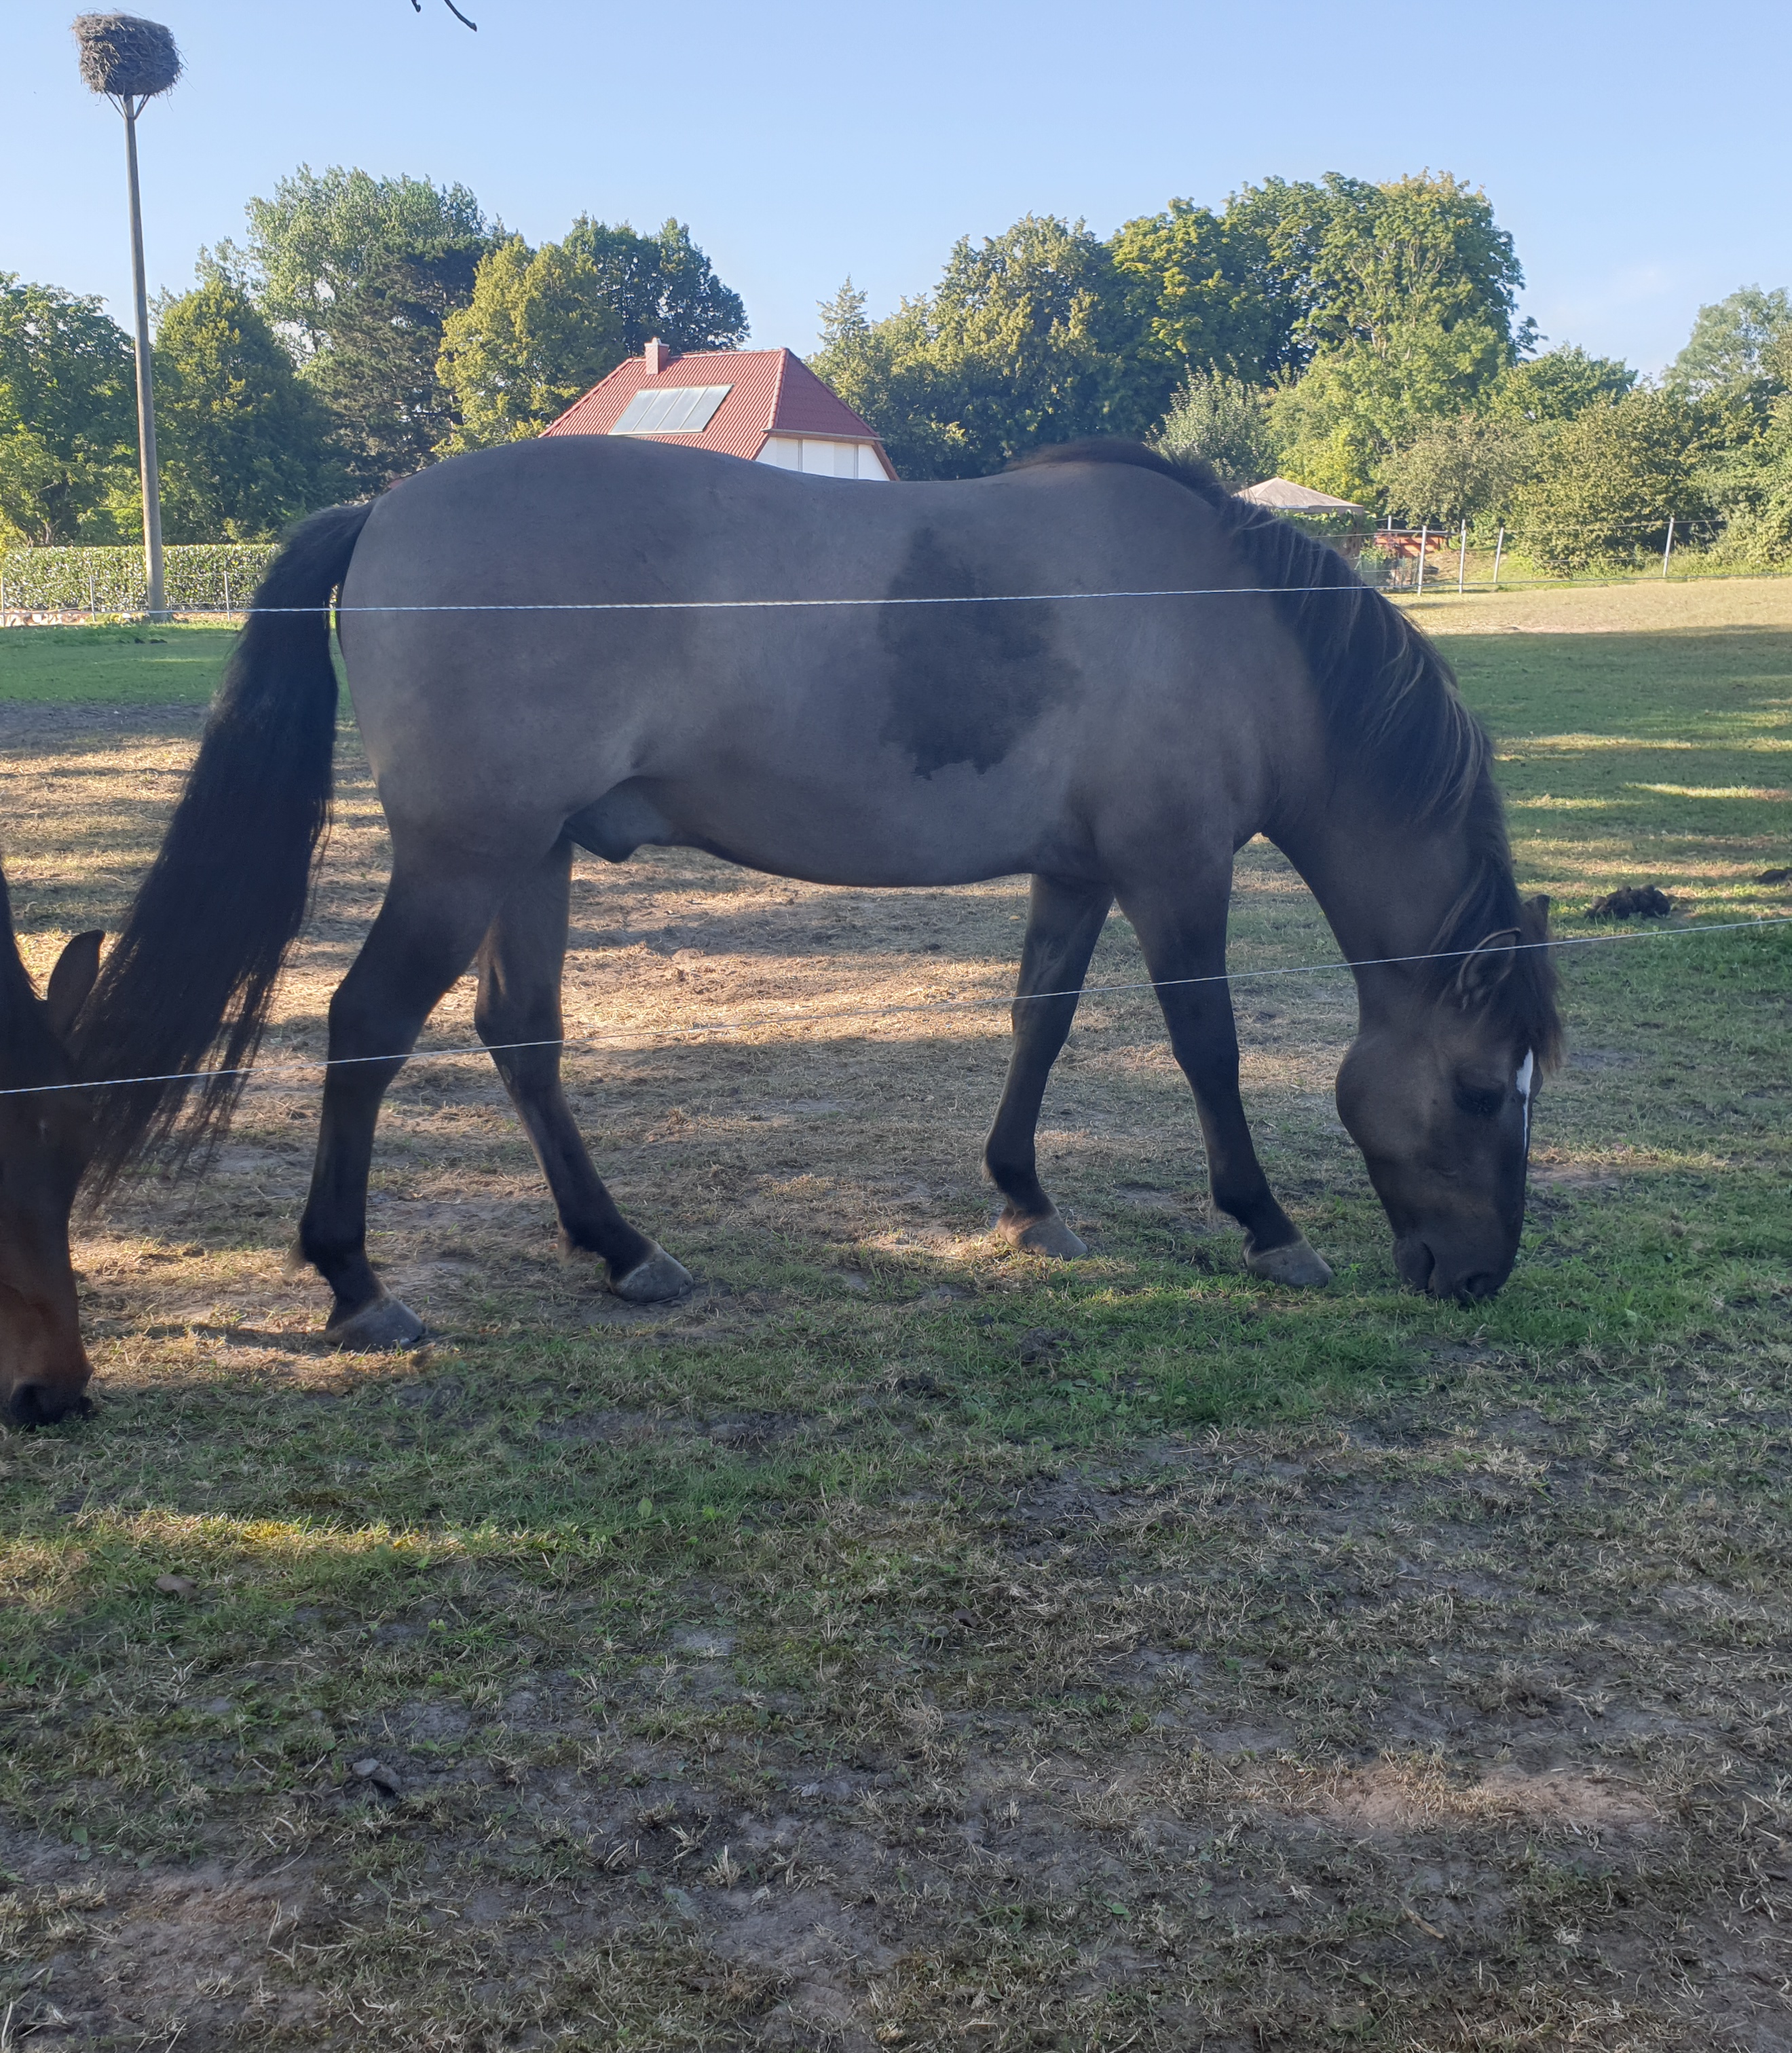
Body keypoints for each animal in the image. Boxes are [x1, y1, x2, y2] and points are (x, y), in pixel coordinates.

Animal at [3, 441, 1552, 1420]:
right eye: (1484, 1090)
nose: (1481, 1278)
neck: (1229, 621)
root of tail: (384, 511)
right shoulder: (1173, 874)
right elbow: (1208, 1049)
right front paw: (1268, 1225)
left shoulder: (1077, 874)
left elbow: (1040, 1023)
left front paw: (1025, 1197)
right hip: (467, 859)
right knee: (367, 1030)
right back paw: (355, 1282)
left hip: (532, 861)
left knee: (522, 1037)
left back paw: (621, 1245)